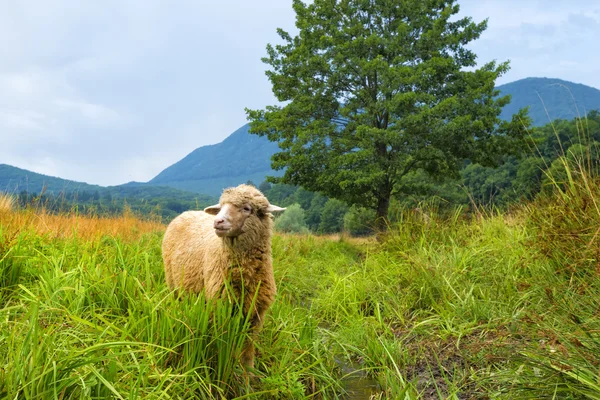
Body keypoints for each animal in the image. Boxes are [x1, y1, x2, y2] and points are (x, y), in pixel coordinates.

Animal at [162, 183, 286, 368]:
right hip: (173, 285)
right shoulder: (221, 306)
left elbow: (248, 349)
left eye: (247, 208)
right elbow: (224, 344)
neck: (245, 275)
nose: (217, 221)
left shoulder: (256, 313)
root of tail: (185, 213)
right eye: (221, 207)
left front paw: (248, 371)